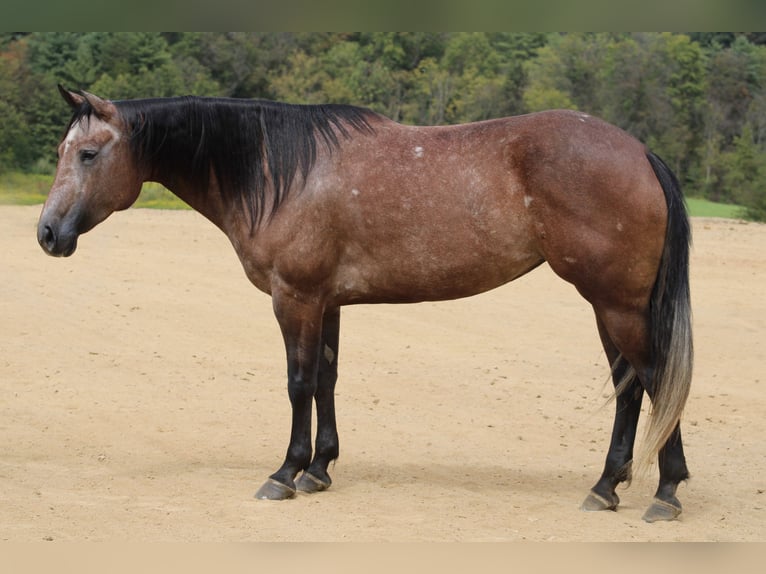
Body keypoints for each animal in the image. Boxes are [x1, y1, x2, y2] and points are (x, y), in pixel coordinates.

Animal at [38, 86, 692, 523]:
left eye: (88, 154)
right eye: (62, 151)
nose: (47, 233)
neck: (280, 170)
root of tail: (639, 153)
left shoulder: (295, 297)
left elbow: (299, 382)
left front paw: (285, 473)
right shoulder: (327, 302)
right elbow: (327, 379)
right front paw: (320, 469)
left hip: (616, 303)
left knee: (656, 380)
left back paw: (665, 493)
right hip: (608, 305)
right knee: (631, 388)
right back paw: (607, 486)